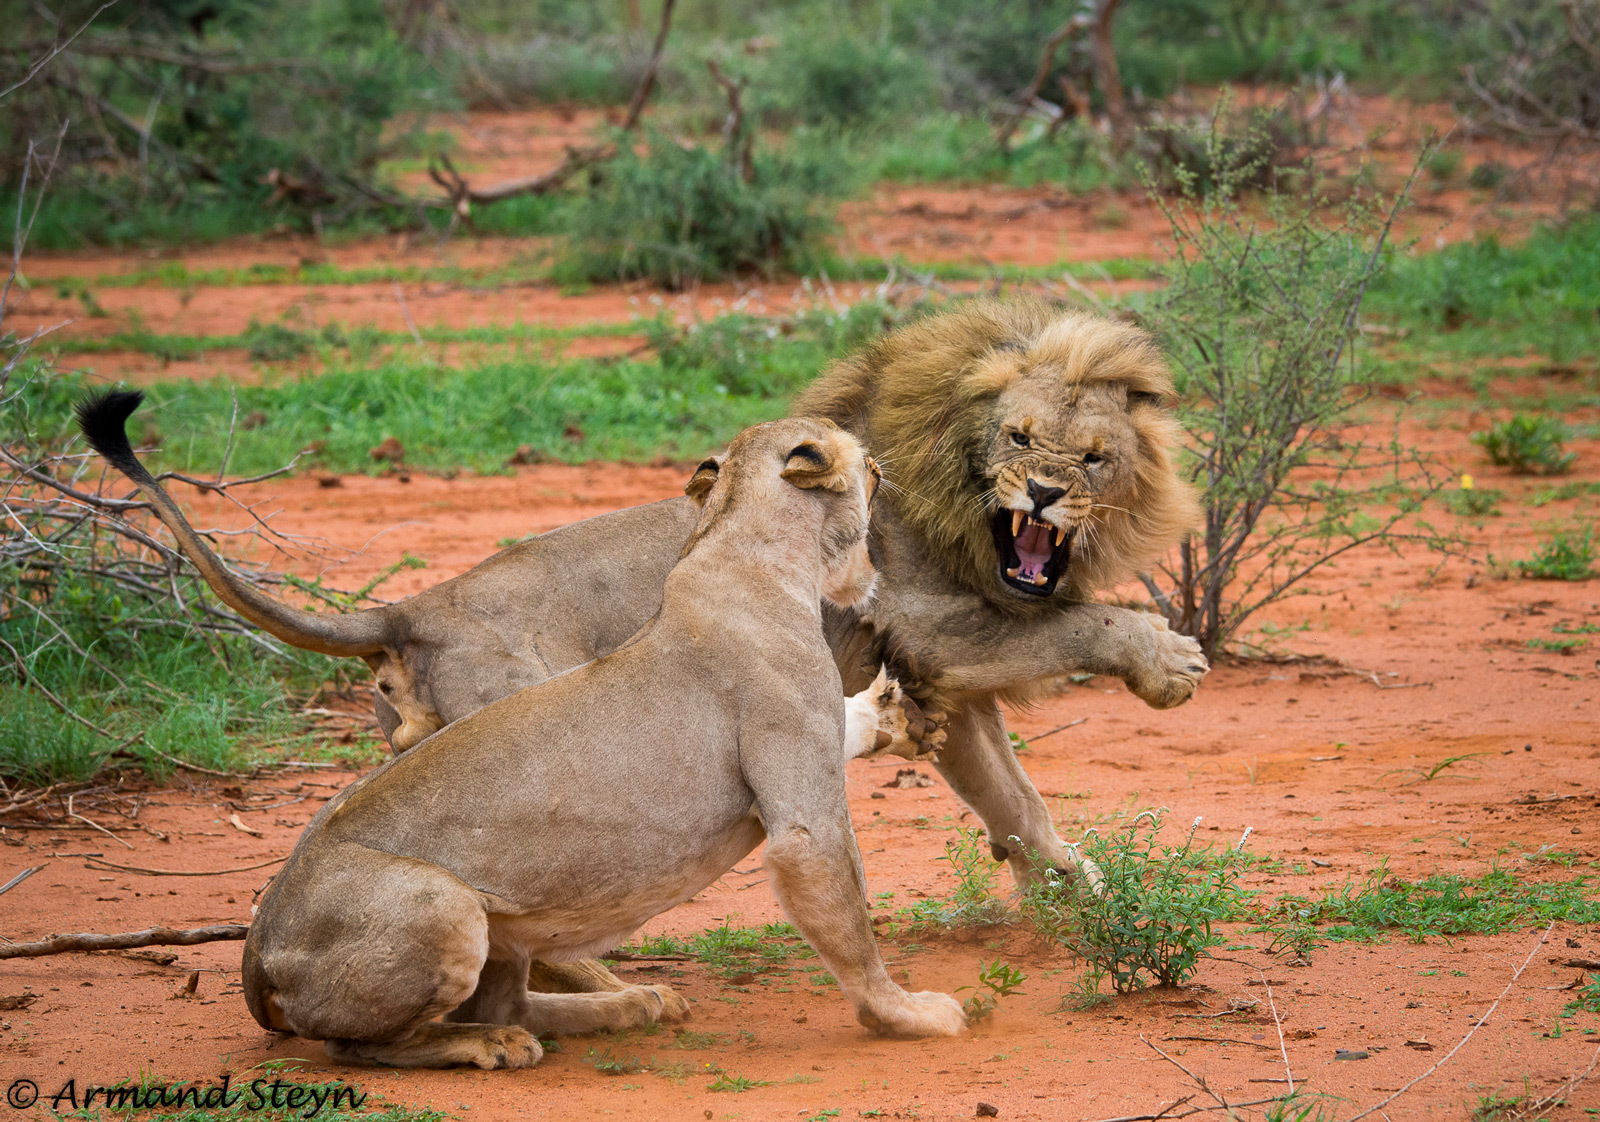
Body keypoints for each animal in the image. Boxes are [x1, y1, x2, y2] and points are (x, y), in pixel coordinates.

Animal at [75, 292, 1203, 985]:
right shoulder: (928, 625)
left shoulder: (940, 683)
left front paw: (1077, 896)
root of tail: (420, 605)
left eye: (1092, 457)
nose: (1043, 494)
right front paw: (1169, 661)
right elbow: (1074, 632)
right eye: (1020, 438)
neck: (965, 507)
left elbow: (1015, 801)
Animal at [236, 416, 960, 1062]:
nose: (883, 468)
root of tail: (256, 947)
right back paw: (495, 1044)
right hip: (444, 904)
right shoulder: (802, 817)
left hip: (499, 923)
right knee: (358, 1044)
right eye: (869, 468)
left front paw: (896, 718)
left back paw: (628, 1005)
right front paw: (908, 1015)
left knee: (510, 1001)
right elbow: (848, 920)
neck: (742, 551)